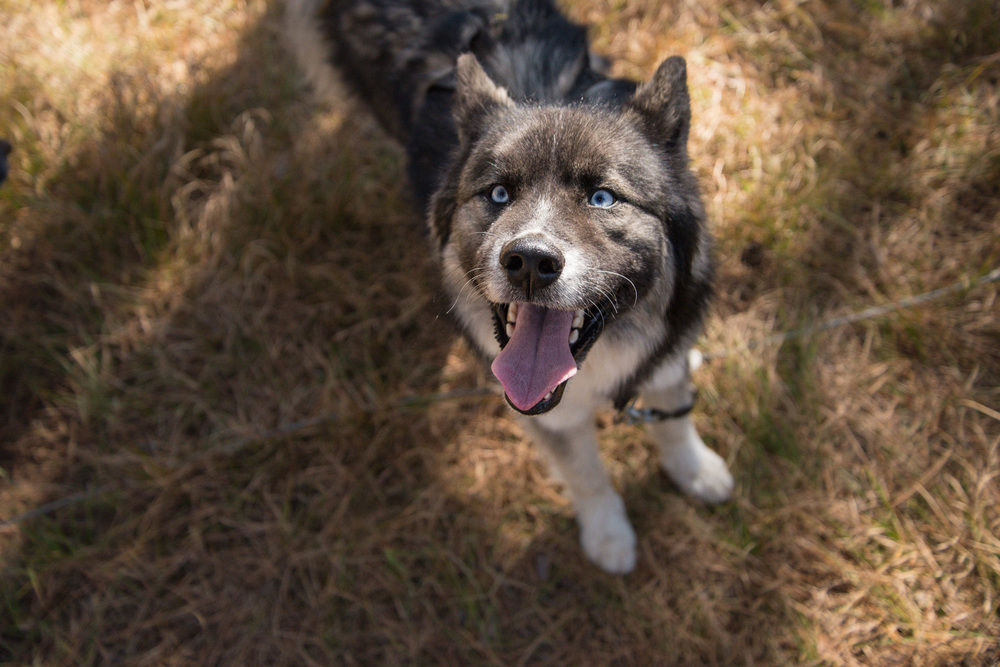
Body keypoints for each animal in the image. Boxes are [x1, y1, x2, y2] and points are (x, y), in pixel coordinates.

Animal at [290, 0, 736, 576]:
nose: (530, 262)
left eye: (602, 197)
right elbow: (586, 474)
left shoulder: (665, 351)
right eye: (499, 193)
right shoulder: (554, 416)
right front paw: (608, 536)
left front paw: (695, 470)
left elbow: (674, 416)